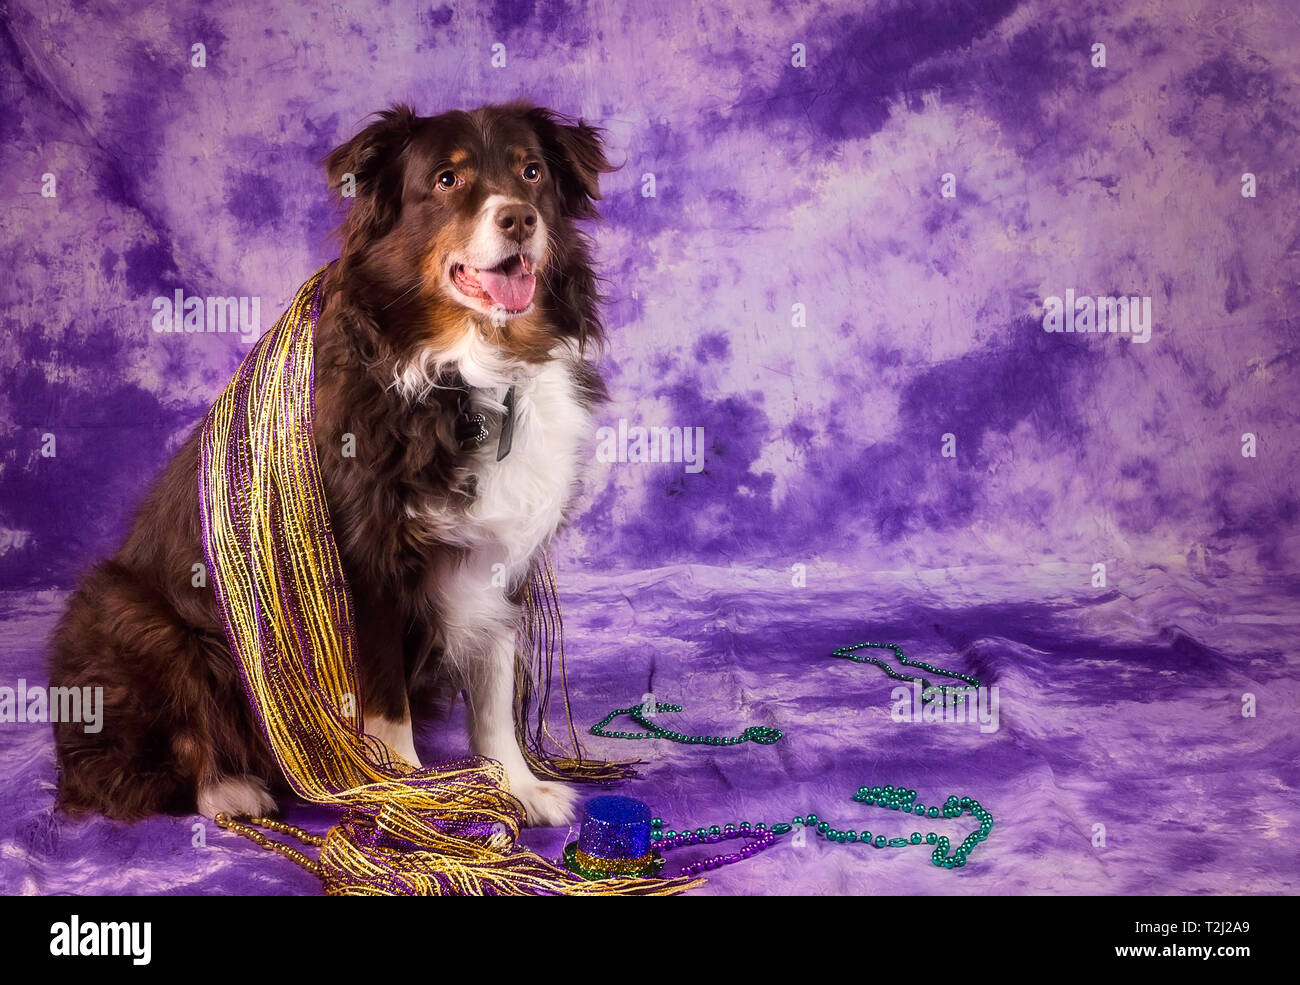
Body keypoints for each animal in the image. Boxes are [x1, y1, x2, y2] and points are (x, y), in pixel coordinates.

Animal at [49, 102, 613, 826]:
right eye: (448, 179)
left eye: (532, 172)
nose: (518, 218)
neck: (469, 372)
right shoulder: (364, 567)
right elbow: (387, 709)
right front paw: (410, 800)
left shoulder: (500, 557)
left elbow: (492, 688)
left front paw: (516, 784)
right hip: (138, 616)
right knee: (135, 762)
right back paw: (228, 788)